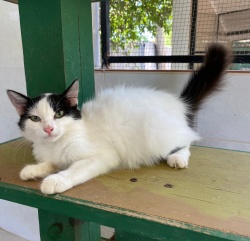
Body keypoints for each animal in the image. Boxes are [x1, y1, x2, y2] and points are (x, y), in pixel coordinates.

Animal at [6, 42, 231, 194]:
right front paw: (34, 169)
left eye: (58, 114)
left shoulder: (103, 156)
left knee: (188, 140)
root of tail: (178, 102)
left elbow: (75, 168)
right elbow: (53, 162)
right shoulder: (55, 155)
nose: (49, 129)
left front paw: (55, 180)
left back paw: (178, 157)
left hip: (156, 130)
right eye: (35, 118)